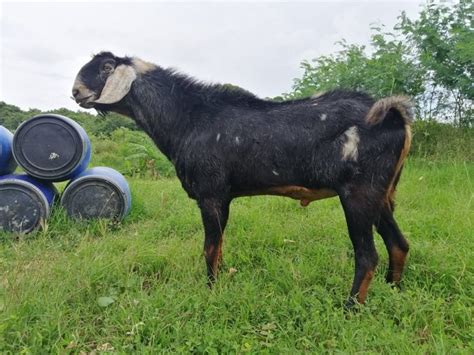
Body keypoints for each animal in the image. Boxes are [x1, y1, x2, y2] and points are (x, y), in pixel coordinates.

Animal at [72, 52, 412, 306]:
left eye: (106, 67)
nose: (76, 92)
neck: (188, 118)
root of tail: (394, 114)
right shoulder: (223, 197)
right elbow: (220, 246)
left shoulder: (210, 193)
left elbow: (210, 248)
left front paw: (210, 291)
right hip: (381, 194)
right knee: (399, 244)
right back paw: (393, 290)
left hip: (358, 192)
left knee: (367, 256)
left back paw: (351, 307)